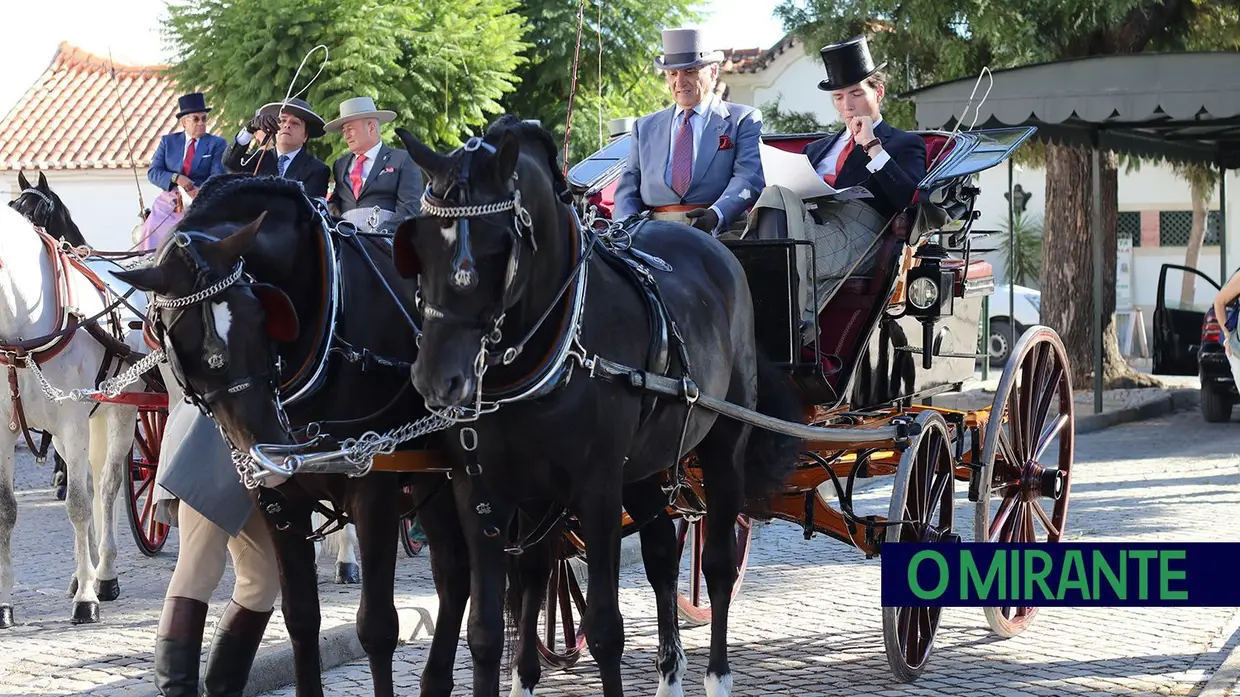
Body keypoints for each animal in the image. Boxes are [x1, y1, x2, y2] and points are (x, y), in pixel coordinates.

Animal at [0, 204, 142, 625]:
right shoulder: (4, 426)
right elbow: (6, 510)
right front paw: (5, 605)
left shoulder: (73, 420)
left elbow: (78, 506)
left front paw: (86, 601)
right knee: (93, 485)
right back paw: (87, 573)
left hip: (119, 414)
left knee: (108, 487)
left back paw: (104, 576)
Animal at [112, 176, 473, 694]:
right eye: (180, 344)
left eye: (258, 315)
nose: (272, 446)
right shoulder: (280, 501)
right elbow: (301, 617)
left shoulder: (375, 486)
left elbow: (377, 627)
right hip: (431, 478)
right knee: (455, 574)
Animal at [391, 116, 803, 689]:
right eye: (419, 246)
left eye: (498, 247)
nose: (435, 380)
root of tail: (711, 244)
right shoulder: (482, 492)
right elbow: (490, 626)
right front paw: (519, 675)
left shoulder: (598, 487)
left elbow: (606, 626)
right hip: (643, 466)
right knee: (658, 553)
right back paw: (669, 674)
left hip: (723, 445)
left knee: (718, 563)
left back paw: (716, 676)